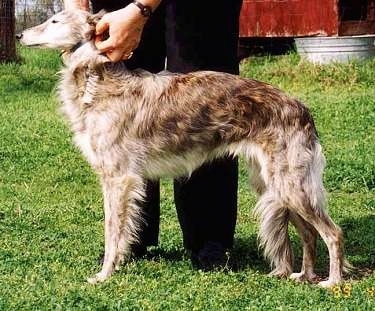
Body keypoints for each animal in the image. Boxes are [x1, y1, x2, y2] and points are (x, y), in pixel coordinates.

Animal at [19, 9, 348, 288]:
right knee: (309, 234)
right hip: (277, 186)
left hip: (290, 184)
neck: (96, 79)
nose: (21, 35)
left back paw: (332, 282)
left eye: (54, 21)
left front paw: (104, 275)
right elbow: (122, 231)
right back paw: (304, 276)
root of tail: (302, 109)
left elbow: (112, 233)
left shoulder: (118, 178)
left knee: (333, 233)